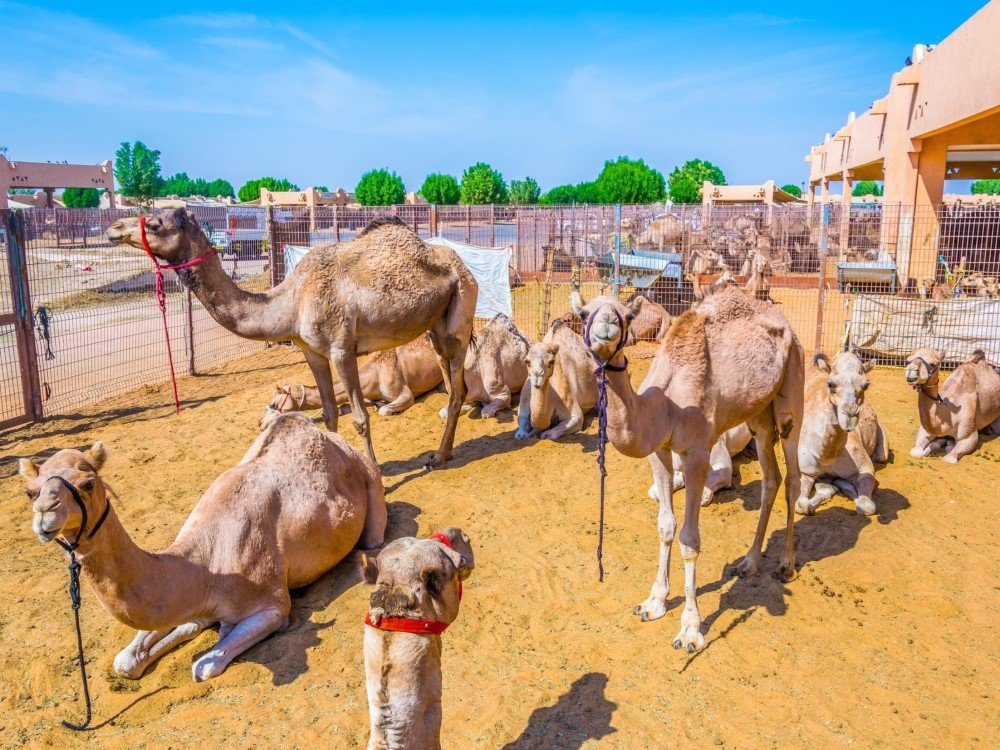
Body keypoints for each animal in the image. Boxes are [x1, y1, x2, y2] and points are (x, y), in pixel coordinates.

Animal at [19, 413, 386, 681]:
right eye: (30, 492)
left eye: (88, 484)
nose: (45, 513)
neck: (206, 567)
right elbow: (126, 660)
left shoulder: (273, 606)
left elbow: (204, 665)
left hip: (370, 494)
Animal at [108, 210, 477, 468]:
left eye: (156, 225)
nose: (114, 228)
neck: (292, 301)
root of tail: (461, 264)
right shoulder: (312, 352)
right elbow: (329, 415)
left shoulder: (342, 349)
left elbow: (360, 417)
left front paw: (374, 474)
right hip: (435, 324)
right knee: (448, 376)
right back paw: (442, 451)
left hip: (461, 305)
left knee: (457, 384)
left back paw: (439, 457)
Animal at [571, 285, 803, 652]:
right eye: (583, 314)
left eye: (627, 315)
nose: (607, 325)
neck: (665, 406)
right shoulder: (659, 451)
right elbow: (665, 526)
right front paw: (653, 602)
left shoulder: (697, 453)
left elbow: (690, 539)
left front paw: (690, 629)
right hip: (758, 412)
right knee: (771, 478)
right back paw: (749, 562)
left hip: (793, 385)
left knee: (793, 476)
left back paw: (786, 564)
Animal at [795, 352, 889, 516]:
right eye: (831, 384)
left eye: (865, 385)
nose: (850, 416)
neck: (827, 456)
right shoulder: (806, 471)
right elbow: (801, 505)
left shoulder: (866, 469)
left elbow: (867, 507)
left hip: (881, 451)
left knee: (881, 456)